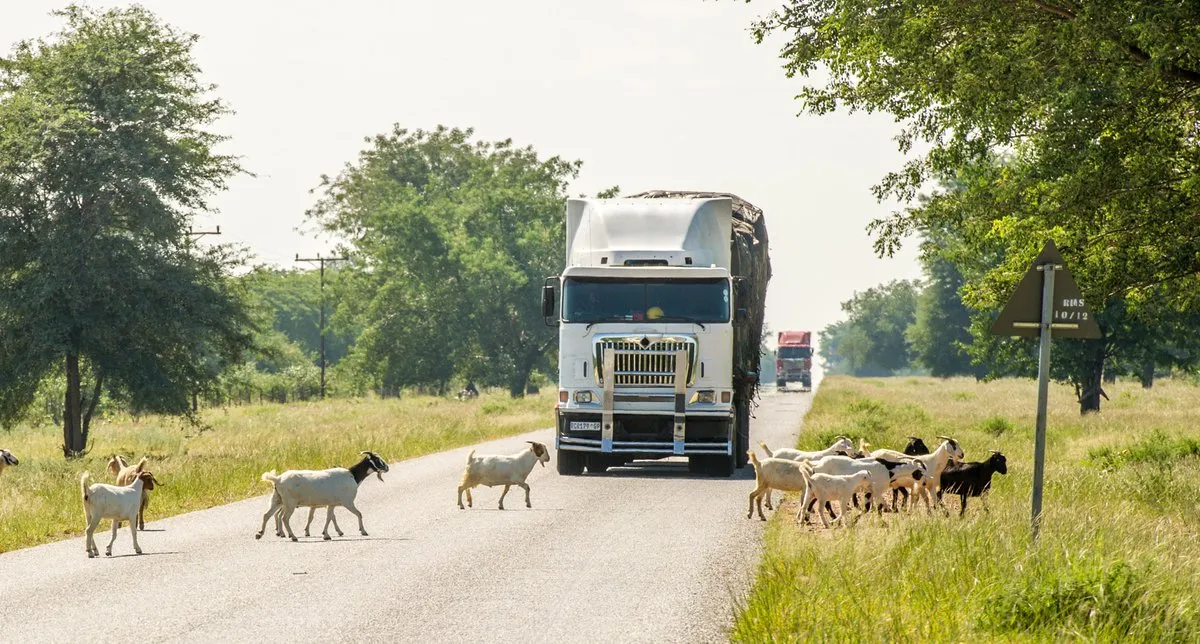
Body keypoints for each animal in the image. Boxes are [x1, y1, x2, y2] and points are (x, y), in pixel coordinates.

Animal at [256, 451, 388, 541]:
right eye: (377, 459)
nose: (387, 468)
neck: (353, 475)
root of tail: (278, 479)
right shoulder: (347, 502)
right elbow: (359, 514)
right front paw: (363, 531)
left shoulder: (331, 504)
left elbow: (329, 518)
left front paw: (326, 534)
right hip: (289, 503)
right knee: (284, 518)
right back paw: (293, 536)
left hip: (277, 500)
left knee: (267, 515)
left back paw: (259, 533)